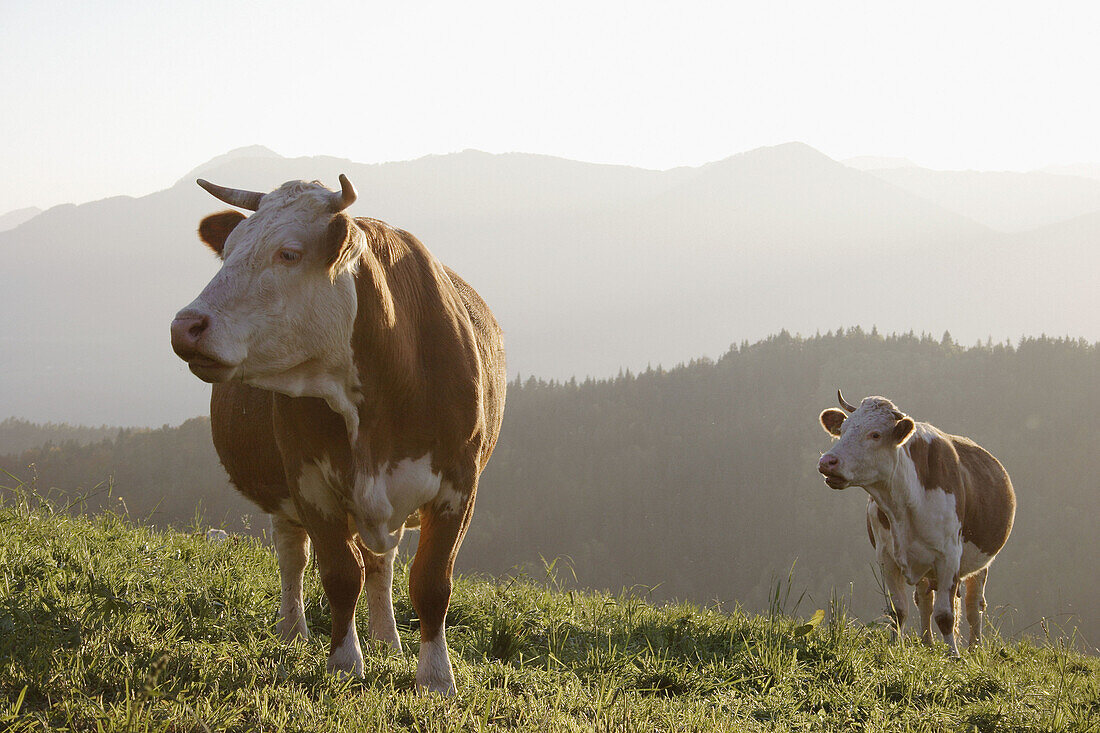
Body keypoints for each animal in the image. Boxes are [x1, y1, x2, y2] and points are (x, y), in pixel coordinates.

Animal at [168, 173, 506, 695]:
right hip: (283, 492)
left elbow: (431, 582)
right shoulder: (310, 483)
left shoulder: (459, 484)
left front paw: (434, 677)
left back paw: (387, 638)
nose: (185, 326)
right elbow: (340, 574)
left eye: (289, 253)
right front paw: (345, 662)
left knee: (381, 563)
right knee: (294, 555)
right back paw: (292, 632)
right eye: (229, 250)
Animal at [818, 391, 1012, 651]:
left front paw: (953, 654)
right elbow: (898, 610)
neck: (903, 504)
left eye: (875, 434)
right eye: (843, 429)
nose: (827, 461)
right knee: (924, 600)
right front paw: (894, 647)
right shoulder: (887, 558)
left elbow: (946, 615)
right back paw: (927, 642)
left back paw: (974, 647)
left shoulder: (949, 557)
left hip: (980, 564)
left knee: (974, 606)